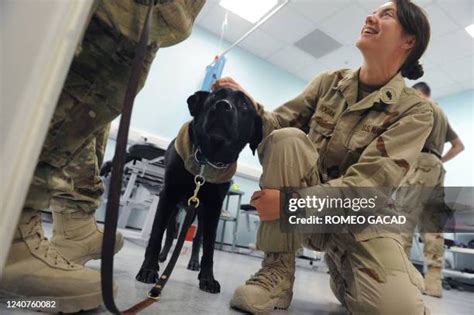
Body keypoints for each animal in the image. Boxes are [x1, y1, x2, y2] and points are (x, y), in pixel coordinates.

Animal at [135, 87, 262, 294]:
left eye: (244, 104)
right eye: (215, 95)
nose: (223, 106)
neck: (206, 160)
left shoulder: (214, 209)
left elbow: (208, 248)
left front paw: (208, 279)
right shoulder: (167, 196)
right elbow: (156, 235)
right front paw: (148, 269)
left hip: (200, 213)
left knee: (196, 239)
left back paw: (194, 263)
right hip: (175, 208)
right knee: (171, 232)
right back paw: (163, 256)